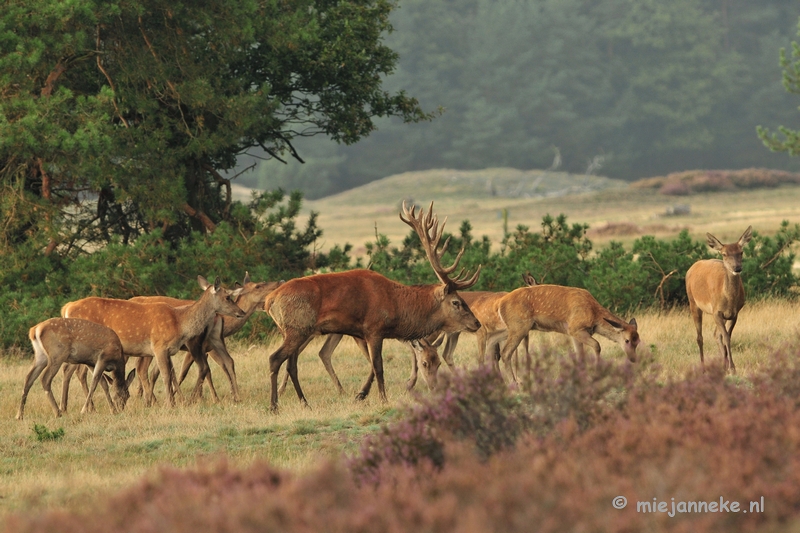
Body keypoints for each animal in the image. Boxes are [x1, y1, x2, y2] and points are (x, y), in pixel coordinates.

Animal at [264, 201, 482, 412]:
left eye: (438, 363)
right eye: (456, 302)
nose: (477, 323)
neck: (397, 306)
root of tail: (270, 300)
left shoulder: (366, 333)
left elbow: (371, 365)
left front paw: (360, 395)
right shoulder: (374, 328)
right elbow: (378, 366)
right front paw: (383, 399)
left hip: (294, 330)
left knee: (291, 365)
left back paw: (304, 403)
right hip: (297, 327)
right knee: (275, 358)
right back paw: (274, 406)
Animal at [496, 282, 640, 382]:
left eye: (638, 341)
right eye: (627, 340)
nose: (633, 358)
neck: (594, 316)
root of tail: (500, 305)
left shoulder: (574, 334)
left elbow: (580, 355)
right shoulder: (575, 328)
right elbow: (597, 345)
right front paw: (596, 373)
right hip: (519, 326)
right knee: (506, 353)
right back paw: (514, 383)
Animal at [684, 224, 752, 370]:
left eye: (741, 252)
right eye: (724, 254)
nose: (737, 268)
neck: (729, 299)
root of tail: (692, 267)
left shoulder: (734, 313)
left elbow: (727, 336)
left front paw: (729, 365)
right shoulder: (716, 311)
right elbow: (726, 336)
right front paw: (732, 367)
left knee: (716, 334)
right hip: (693, 302)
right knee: (699, 337)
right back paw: (703, 365)